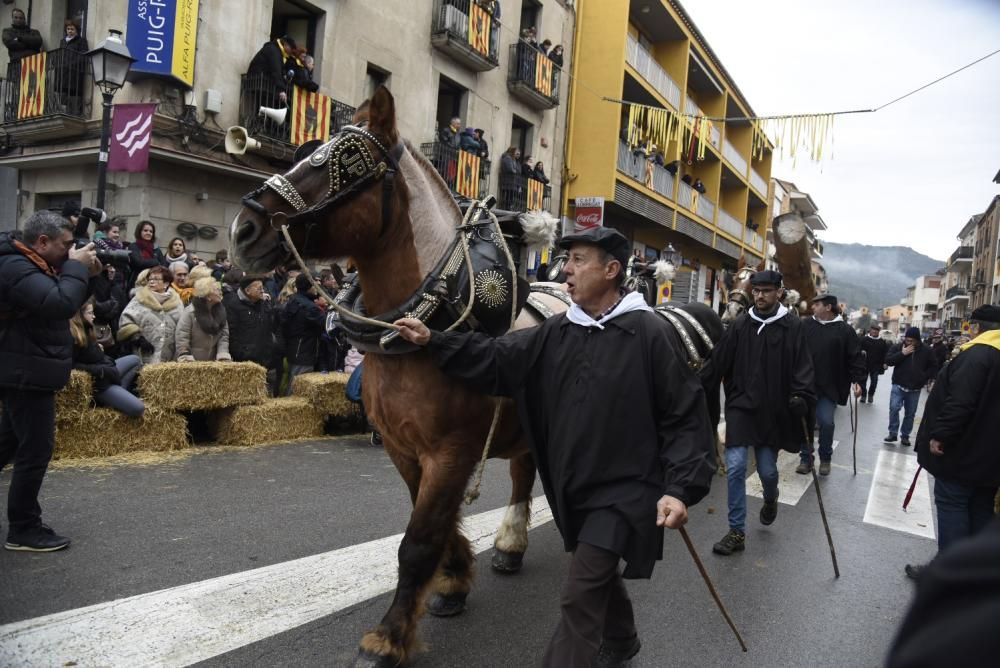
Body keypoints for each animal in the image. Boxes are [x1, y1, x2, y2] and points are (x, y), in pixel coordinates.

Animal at [229, 86, 568, 664]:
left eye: (341, 163)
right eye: (308, 151)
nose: (243, 229)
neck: (425, 329)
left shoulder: (451, 452)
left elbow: (418, 541)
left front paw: (387, 637)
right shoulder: (401, 447)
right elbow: (434, 524)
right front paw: (453, 582)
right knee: (524, 472)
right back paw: (509, 544)